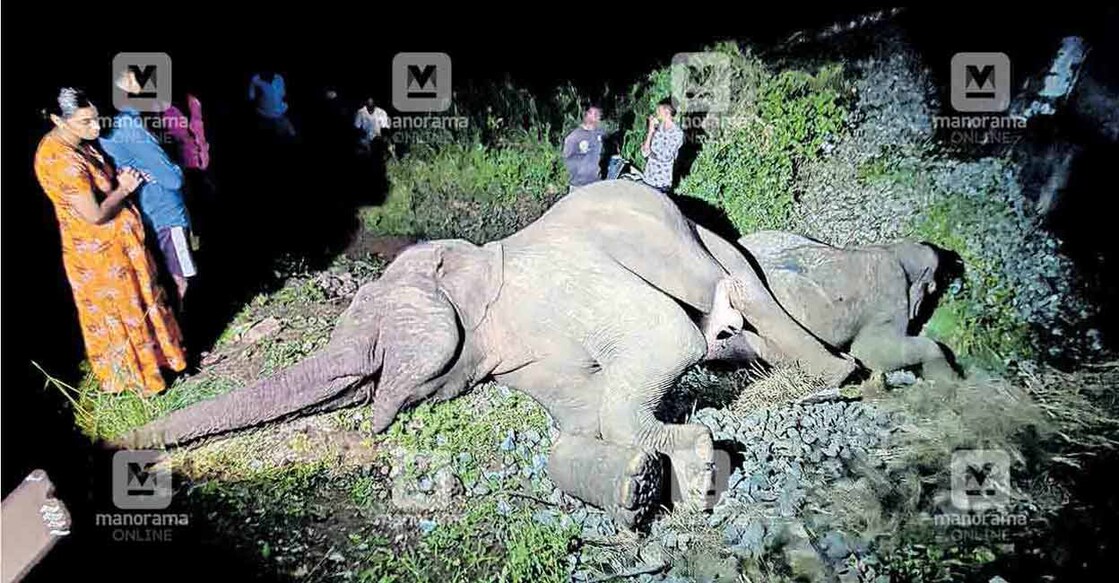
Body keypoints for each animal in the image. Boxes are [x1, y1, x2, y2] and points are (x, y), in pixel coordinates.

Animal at [118, 180, 859, 526]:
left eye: (371, 345)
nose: (124, 445)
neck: (472, 271)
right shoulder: (524, 358)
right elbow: (579, 421)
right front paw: (636, 489)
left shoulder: (560, 290)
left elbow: (662, 340)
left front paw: (700, 469)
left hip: (691, 238)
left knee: (739, 288)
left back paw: (839, 373)